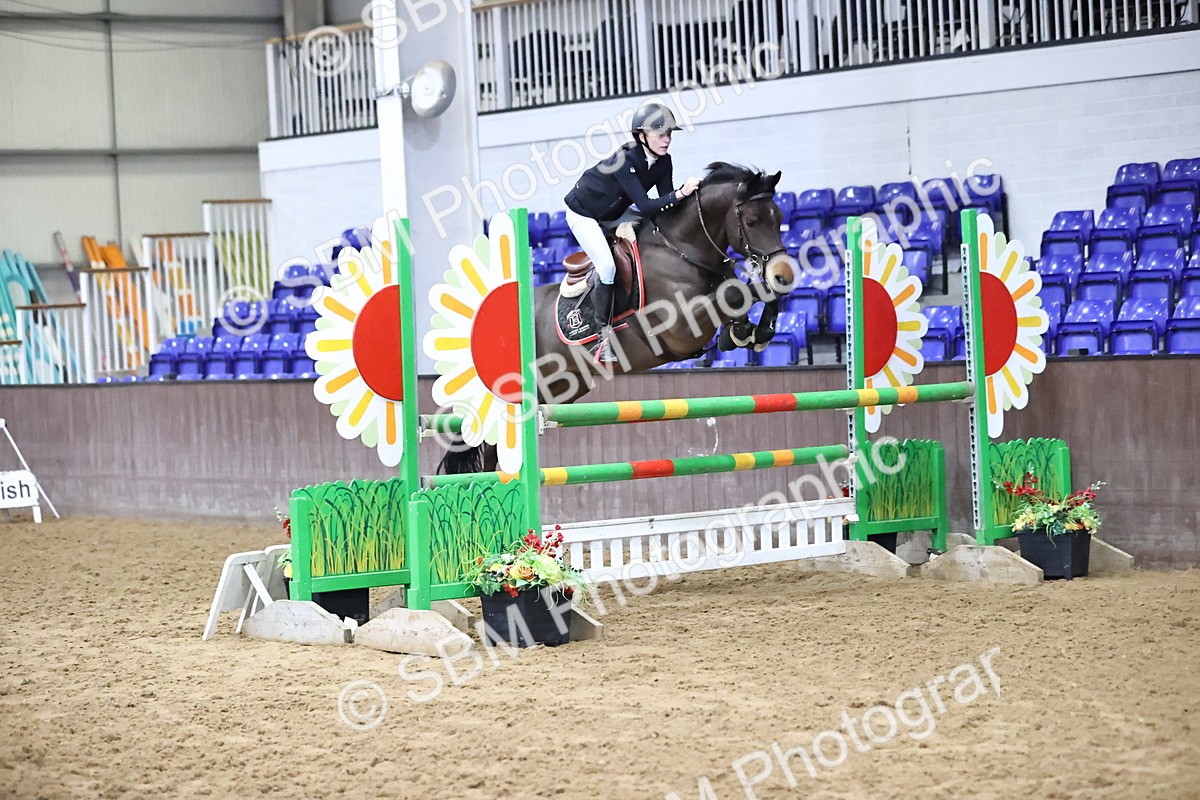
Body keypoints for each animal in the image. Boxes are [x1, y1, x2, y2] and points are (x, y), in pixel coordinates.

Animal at [439, 162, 798, 474]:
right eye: (751, 221)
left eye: (779, 218)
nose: (783, 274)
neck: (682, 250)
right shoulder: (681, 328)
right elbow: (738, 294)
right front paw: (749, 329)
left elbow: (748, 294)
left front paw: (753, 331)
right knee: (491, 449)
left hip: (559, 389)